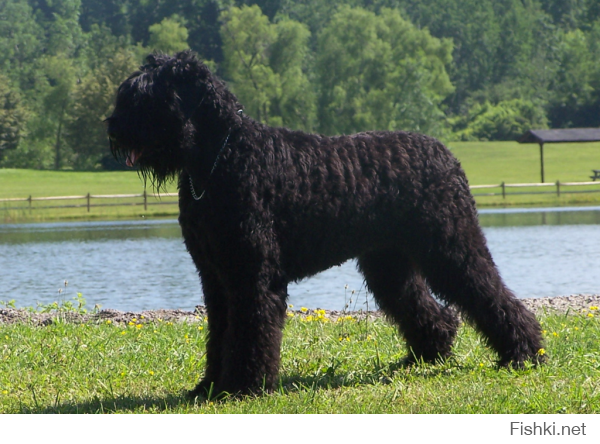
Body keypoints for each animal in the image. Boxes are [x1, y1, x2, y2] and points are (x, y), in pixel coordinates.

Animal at [106, 50, 544, 398]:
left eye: (146, 97)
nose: (112, 125)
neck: (221, 157)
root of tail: (446, 155)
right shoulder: (216, 277)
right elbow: (220, 333)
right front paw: (210, 385)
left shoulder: (252, 275)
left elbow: (250, 331)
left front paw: (245, 386)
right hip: (389, 263)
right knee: (430, 309)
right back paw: (426, 357)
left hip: (451, 247)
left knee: (488, 293)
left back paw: (524, 353)